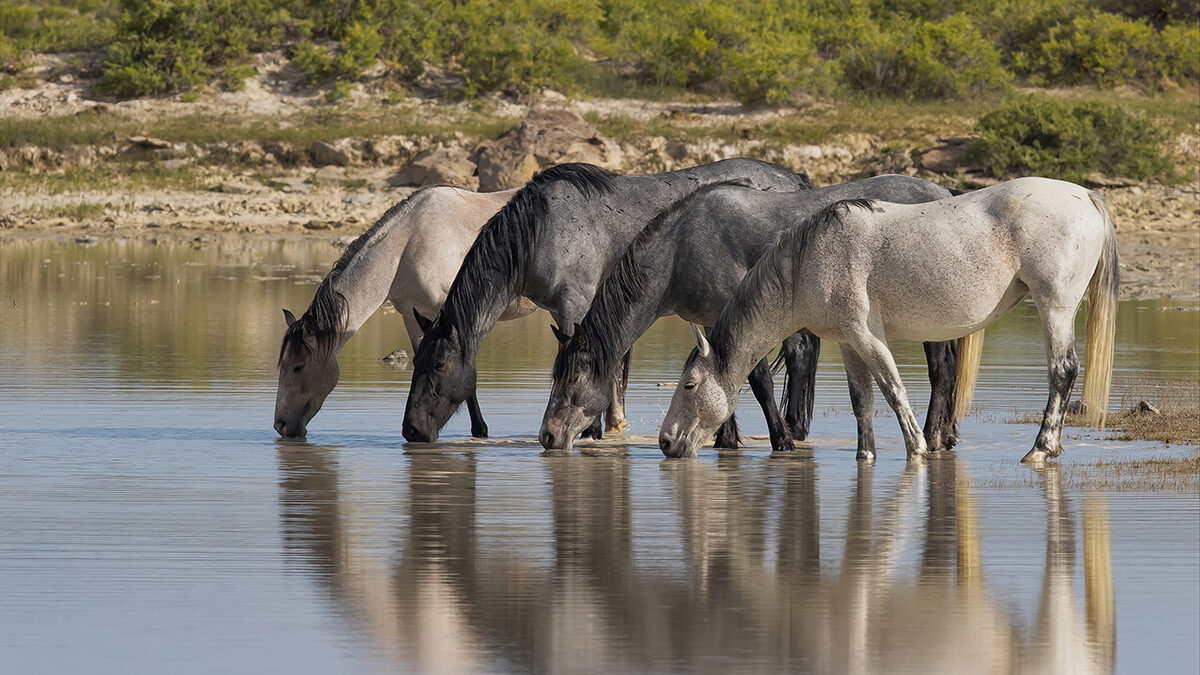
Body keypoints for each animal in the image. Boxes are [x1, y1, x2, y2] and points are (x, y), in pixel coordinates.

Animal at [401, 159, 810, 443]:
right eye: (416, 362)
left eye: (438, 364)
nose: (411, 430)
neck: (544, 229)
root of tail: (795, 179)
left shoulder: (574, 305)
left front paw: (590, 430)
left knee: (798, 353)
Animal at [540, 175, 968, 454]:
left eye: (573, 377)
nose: (547, 436)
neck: (682, 248)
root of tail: (943, 192)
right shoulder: (712, 321)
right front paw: (726, 439)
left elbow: (759, 380)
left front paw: (781, 441)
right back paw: (945, 436)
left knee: (942, 371)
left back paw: (932, 438)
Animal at [660, 177, 1118, 463]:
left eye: (690, 385)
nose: (665, 442)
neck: (811, 259)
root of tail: (1086, 196)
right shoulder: (848, 342)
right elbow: (861, 399)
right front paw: (865, 454)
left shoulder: (868, 337)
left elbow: (893, 389)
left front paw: (917, 449)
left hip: (1054, 305)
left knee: (1063, 370)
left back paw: (1041, 448)